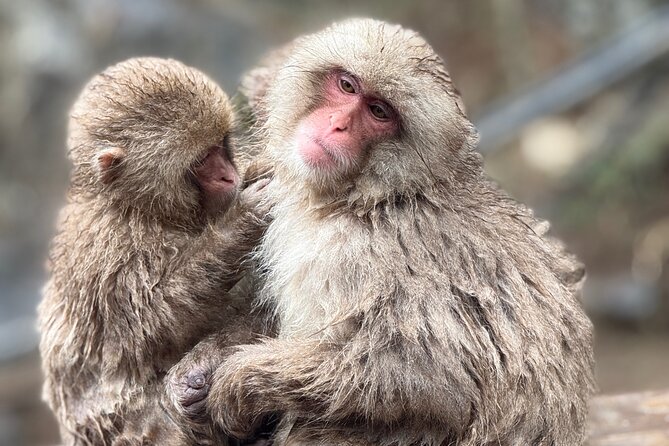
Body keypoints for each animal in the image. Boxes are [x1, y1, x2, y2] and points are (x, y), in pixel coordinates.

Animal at [38, 57, 272, 445]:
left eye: (221, 145)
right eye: (203, 160)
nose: (229, 176)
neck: (142, 208)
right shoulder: (110, 254)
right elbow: (152, 325)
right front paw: (240, 221)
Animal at [168, 19, 596, 446]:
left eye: (378, 112)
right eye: (346, 86)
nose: (337, 124)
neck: (373, 197)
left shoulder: (358, 253)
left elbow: (428, 375)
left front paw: (236, 383)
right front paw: (200, 369)